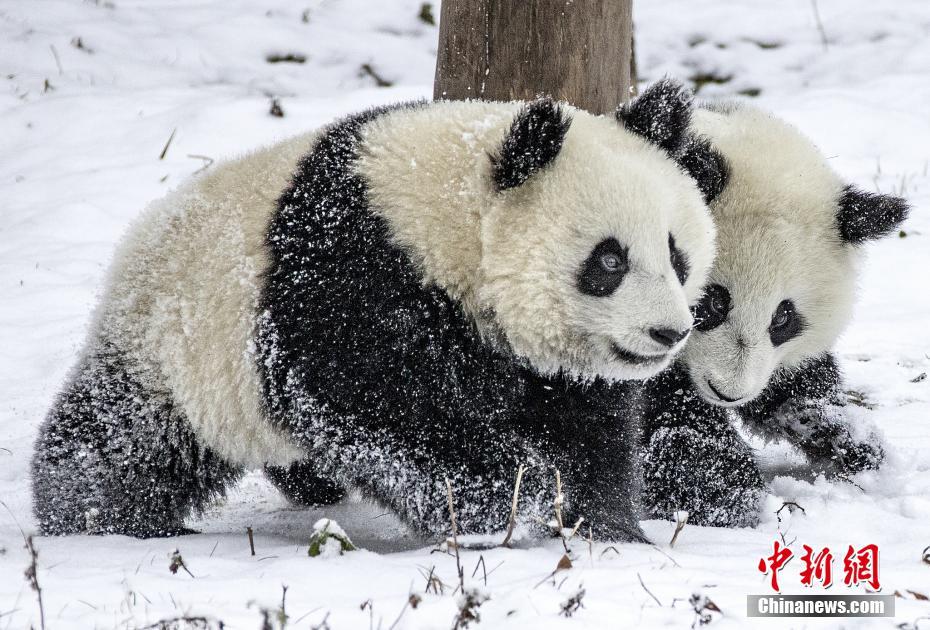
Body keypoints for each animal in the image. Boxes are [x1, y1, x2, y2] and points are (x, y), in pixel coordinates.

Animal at [32, 79, 716, 544]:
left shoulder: (544, 363)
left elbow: (587, 426)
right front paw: (500, 501)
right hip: (175, 339)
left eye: (677, 254)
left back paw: (314, 484)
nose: (668, 331)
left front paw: (606, 525)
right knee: (123, 437)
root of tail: (146, 227)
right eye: (609, 261)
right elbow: (374, 403)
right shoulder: (352, 274)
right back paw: (92, 515)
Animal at [640, 102, 908, 528]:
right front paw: (721, 492)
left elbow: (798, 389)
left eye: (783, 318)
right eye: (714, 301)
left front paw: (852, 444)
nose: (727, 392)